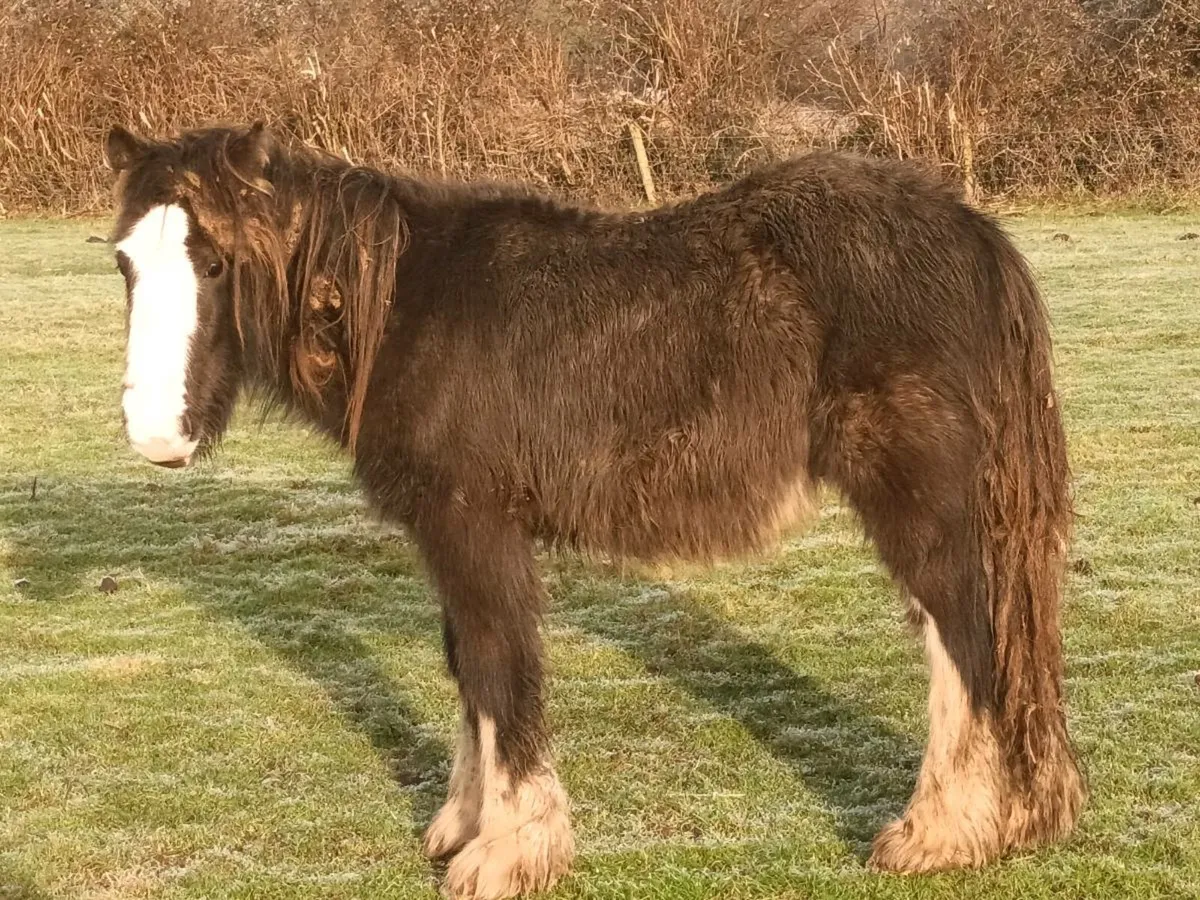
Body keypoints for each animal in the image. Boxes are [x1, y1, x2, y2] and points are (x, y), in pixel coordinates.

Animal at [103, 122, 1085, 899]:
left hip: (919, 506)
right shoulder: (446, 535)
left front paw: (509, 853)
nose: (155, 435)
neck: (402, 310)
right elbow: (465, 668)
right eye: (123, 263)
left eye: (216, 262)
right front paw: (463, 825)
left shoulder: (475, 525)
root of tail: (974, 233)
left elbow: (498, 668)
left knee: (964, 643)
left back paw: (940, 834)